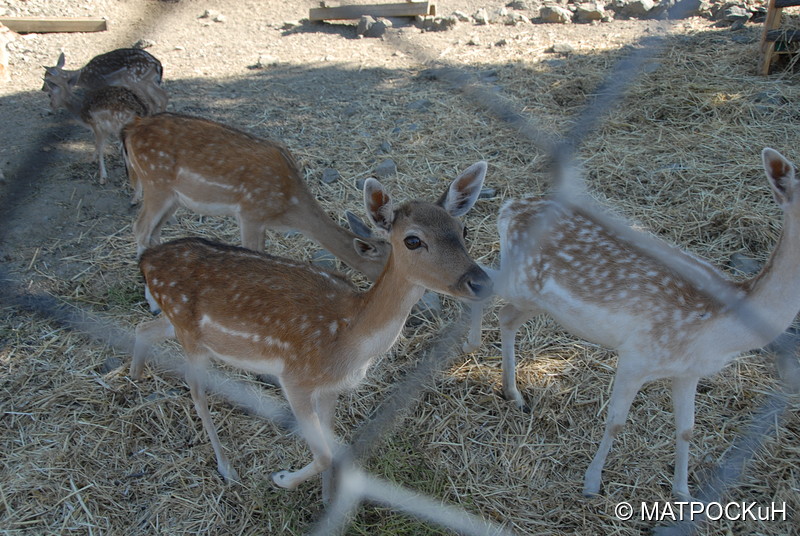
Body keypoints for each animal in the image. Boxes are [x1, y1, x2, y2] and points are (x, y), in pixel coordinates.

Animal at [121, 113, 390, 280]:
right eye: (388, 265)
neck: (290, 211)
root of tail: (131, 128)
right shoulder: (250, 213)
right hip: (155, 182)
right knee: (140, 228)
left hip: (174, 198)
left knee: (154, 232)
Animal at [130, 163, 494, 494]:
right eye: (413, 240)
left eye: (463, 230)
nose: (481, 281)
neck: (349, 338)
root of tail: (147, 260)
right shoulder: (295, 379)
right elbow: (323, 455)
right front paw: (281, 478)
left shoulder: (331, 388)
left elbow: (333, 451)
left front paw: (327, 497)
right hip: (191, 337)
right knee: (196, 390)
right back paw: (225, 467)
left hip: (177, 323)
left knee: (144, 328)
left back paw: (135, 376)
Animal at [462, 149, 800, 500]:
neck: (719, 329)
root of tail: (509, 207)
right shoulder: (636, 356)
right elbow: (616, 421)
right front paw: (591, 483)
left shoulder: (688, 372)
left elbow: (687, 429)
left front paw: (683, 492)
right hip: (521, 281)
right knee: (483, 285)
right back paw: (471, 344)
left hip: (535, 299)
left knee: (505, 315)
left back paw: (513, 393)